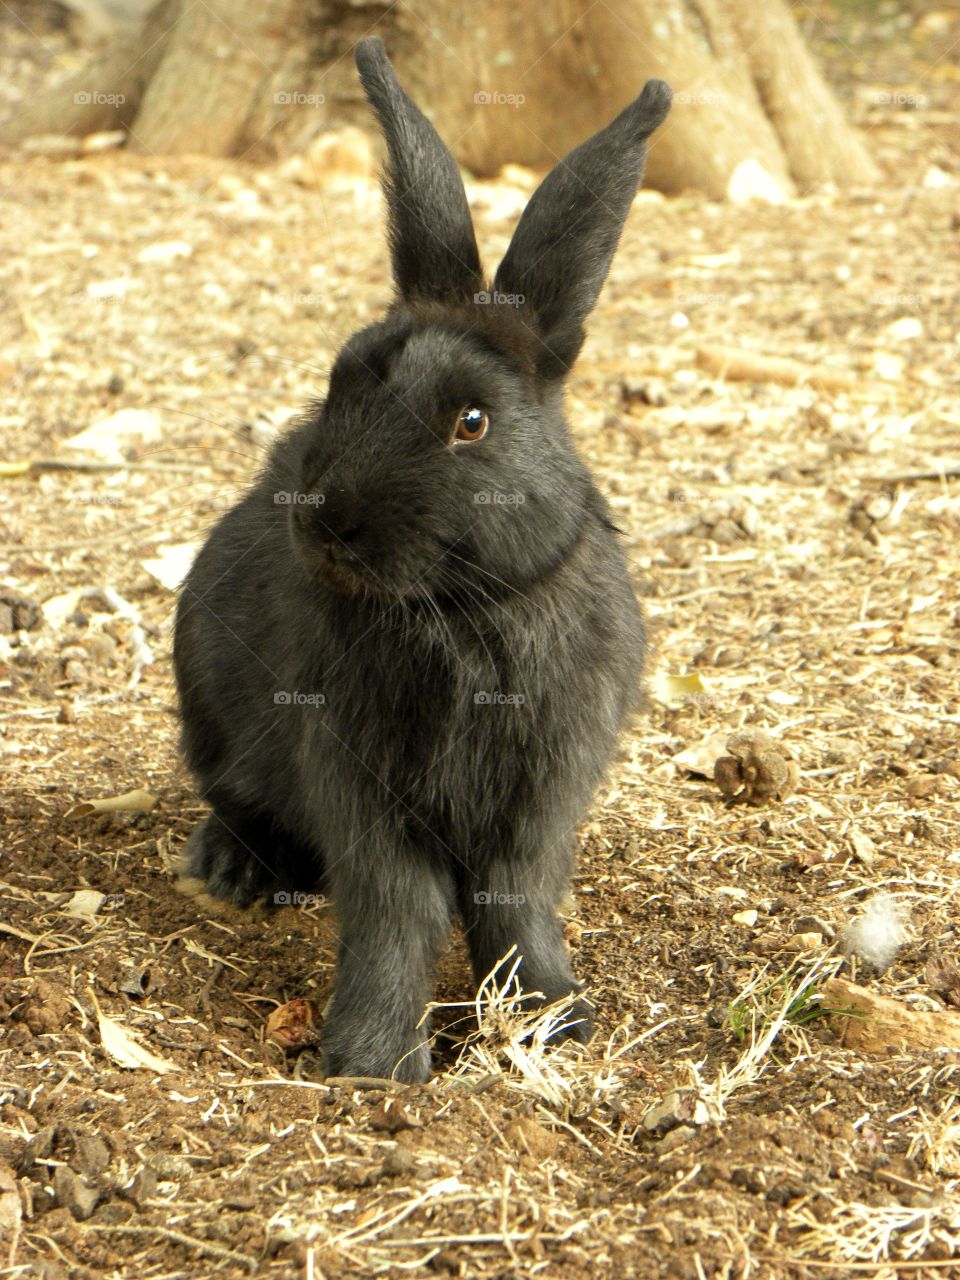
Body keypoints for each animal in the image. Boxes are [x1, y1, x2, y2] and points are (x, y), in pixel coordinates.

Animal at [173, 36, 671, 1084]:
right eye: (337, 384)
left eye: (471, 421)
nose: (326, 521)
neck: (466, 610)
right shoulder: (359, 785)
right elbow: (395, 912)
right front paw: (372, 1062)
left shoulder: (543, 795)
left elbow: (517, 901)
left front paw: (552, 1021)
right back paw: (229, 871)